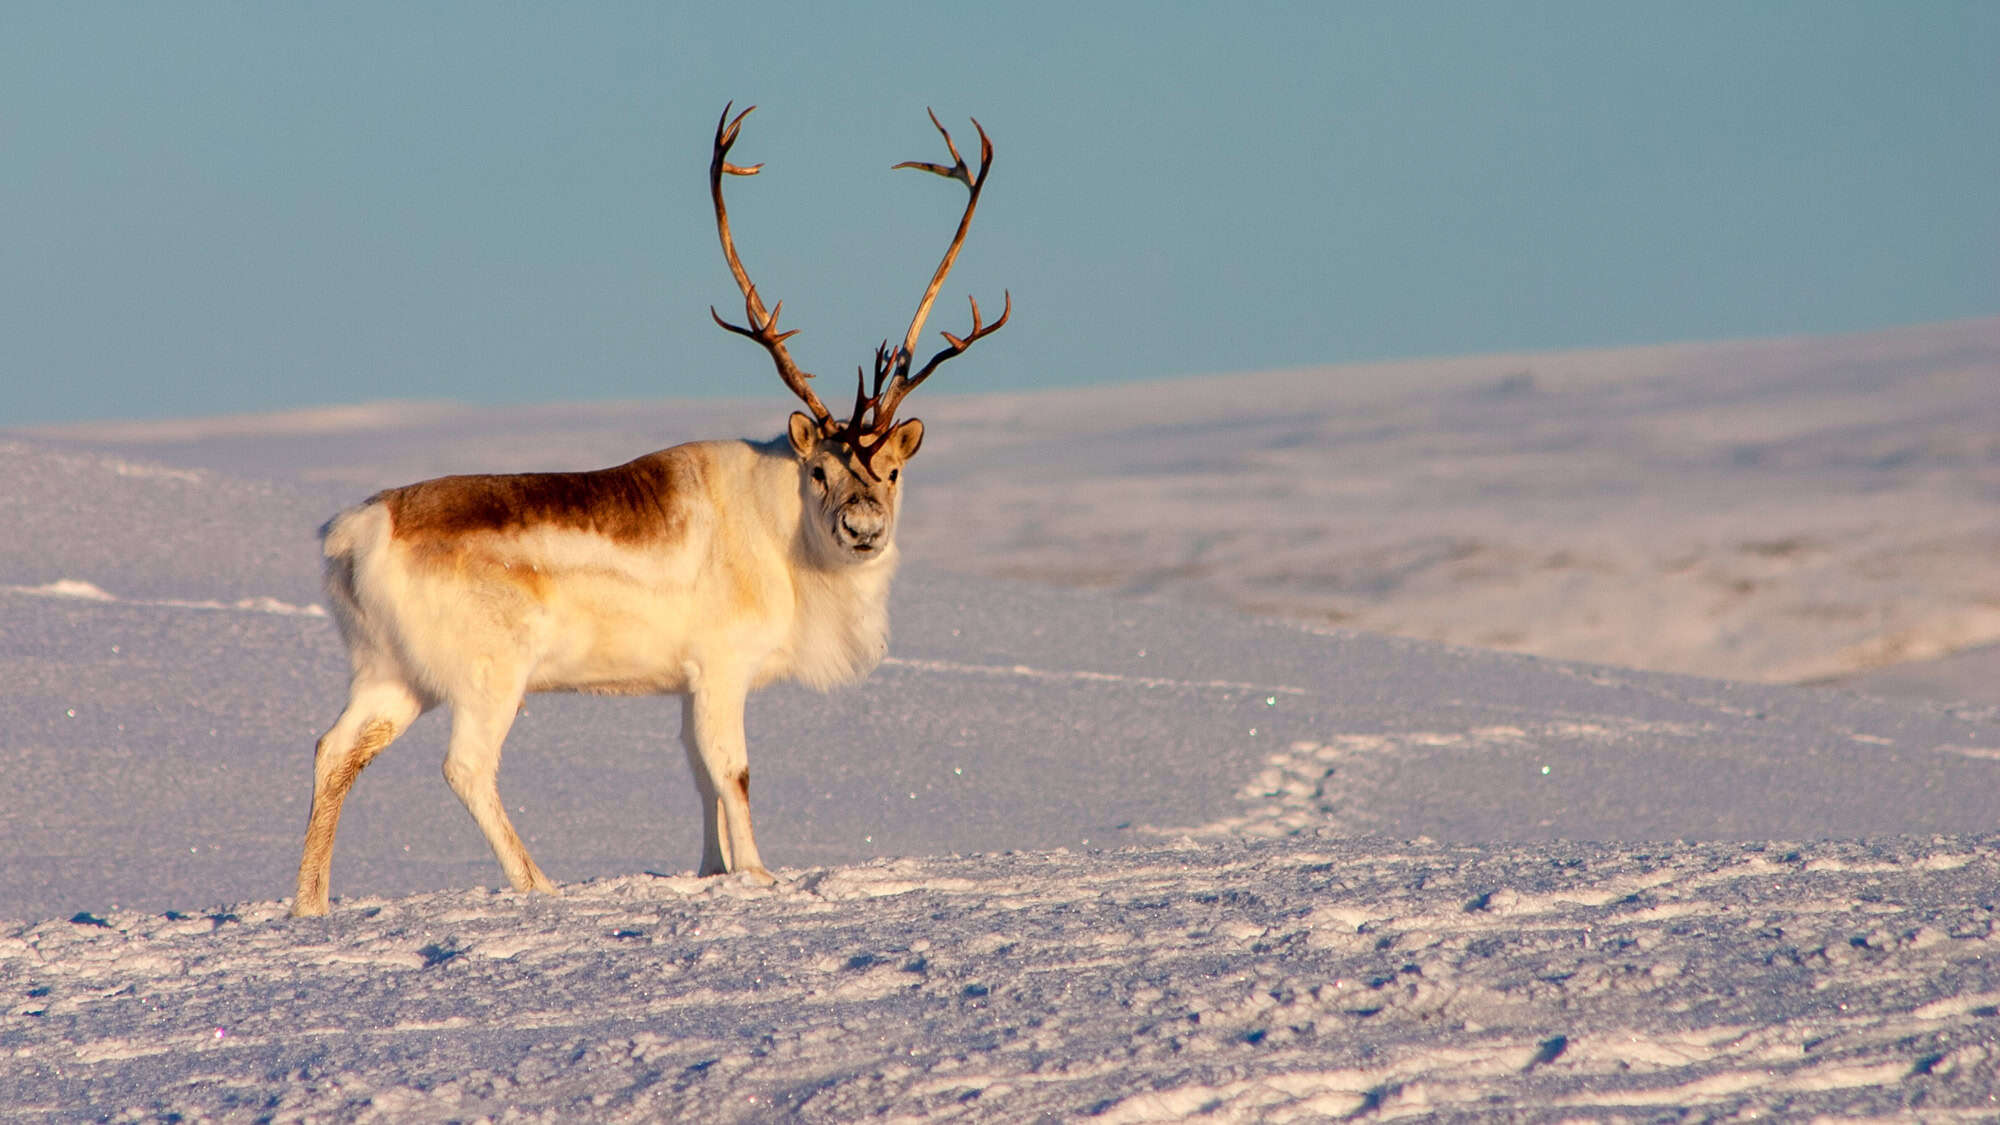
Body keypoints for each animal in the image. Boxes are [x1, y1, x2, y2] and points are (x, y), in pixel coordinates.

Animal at [290, 104, 1008, 917]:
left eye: (891, 470)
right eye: (821, 469)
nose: (863, 529)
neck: (786, 539)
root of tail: (356, 531)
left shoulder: (686, 680)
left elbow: (699, 774)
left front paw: (712, 870)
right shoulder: (723, 663)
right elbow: (733, 770)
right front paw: (758, 874)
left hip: (391, 670)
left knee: (334, 749)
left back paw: (310, 904)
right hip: (488, 671)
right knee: (466, 766)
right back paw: (540, 882)